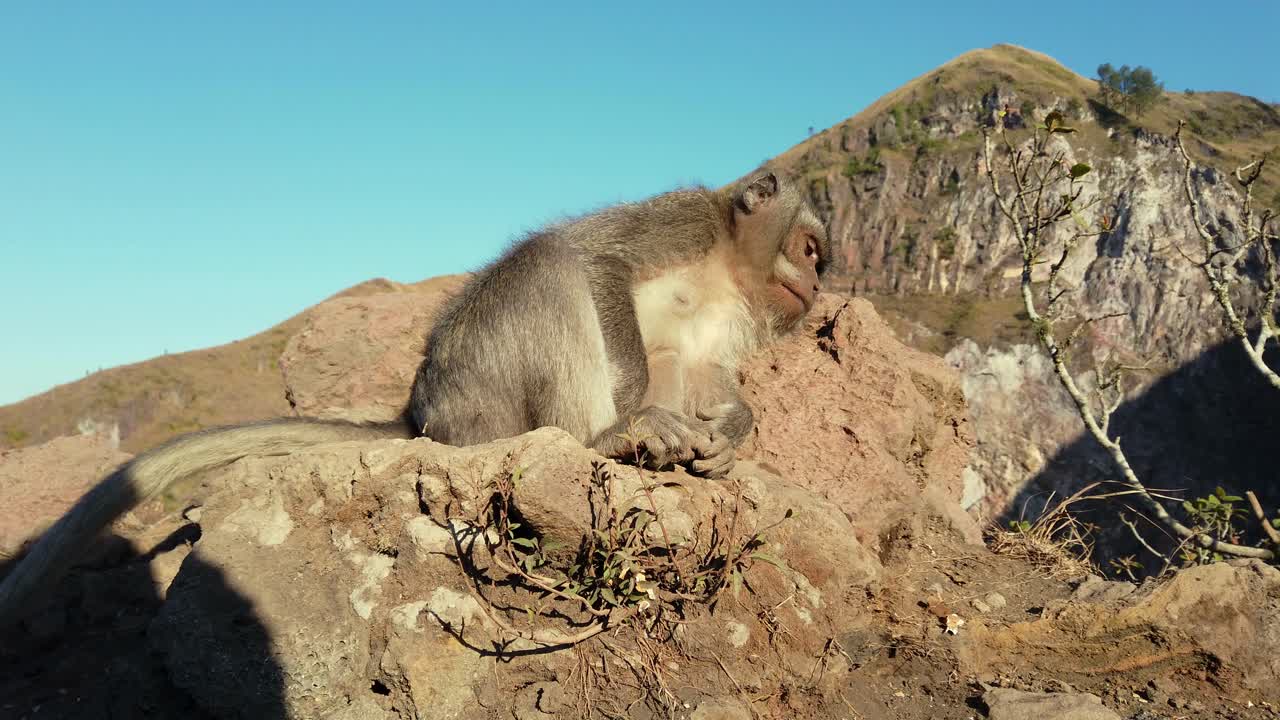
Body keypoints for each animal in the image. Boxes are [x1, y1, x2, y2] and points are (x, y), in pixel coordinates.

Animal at [0, 168, 829, 630]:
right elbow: (600, 262)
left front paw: (731, 431)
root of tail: (421, 411)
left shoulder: (732, 316)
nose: (820, 286)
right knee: (550, 266)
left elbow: (707, 369)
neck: (726, 266)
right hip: (479, 389)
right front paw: (636, 415)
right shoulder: (681, 219)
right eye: (812, 247)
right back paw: (608, 438)